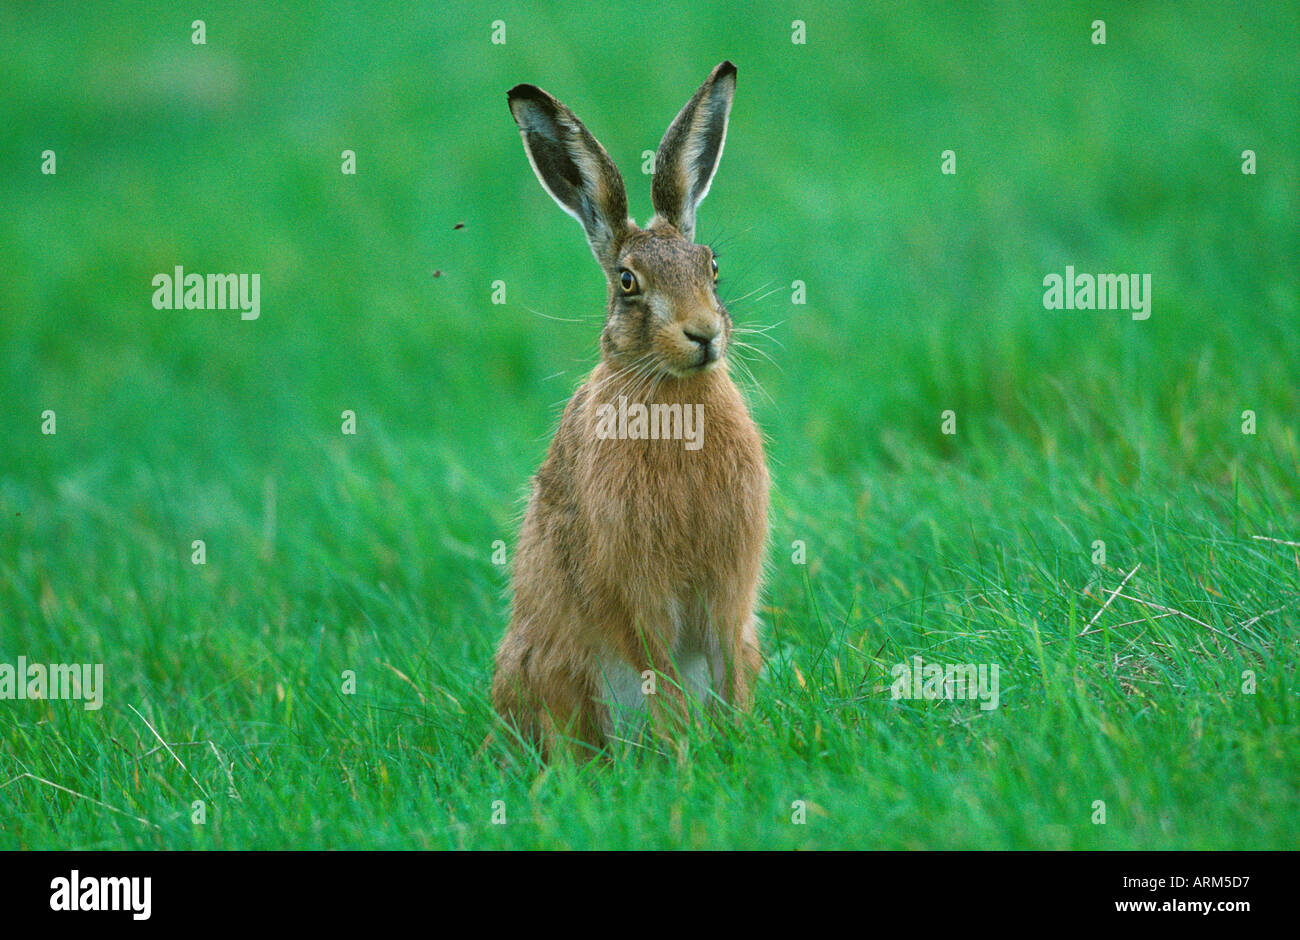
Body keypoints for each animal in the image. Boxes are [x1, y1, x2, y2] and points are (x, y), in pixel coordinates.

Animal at [492, 61, 769, 761]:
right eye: (627, 282)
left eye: (712, 268)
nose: (704, 334)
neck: (672, 395)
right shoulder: (637, 593)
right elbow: (660, 674)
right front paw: (686, 755)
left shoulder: (730, 590)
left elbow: (725, 663)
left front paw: (739, 737)